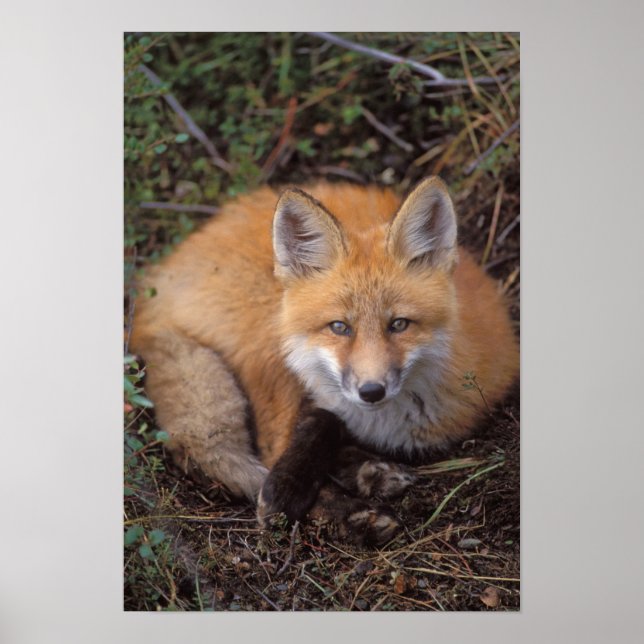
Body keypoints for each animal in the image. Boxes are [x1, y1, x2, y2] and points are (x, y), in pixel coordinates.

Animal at [130, 177, 519, 544]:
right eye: (339, 327)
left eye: (399, 324)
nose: (371, 391)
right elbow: (316, 426)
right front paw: (293, 494)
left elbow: (327, 423)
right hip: (269, 339)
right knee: (266, 448)